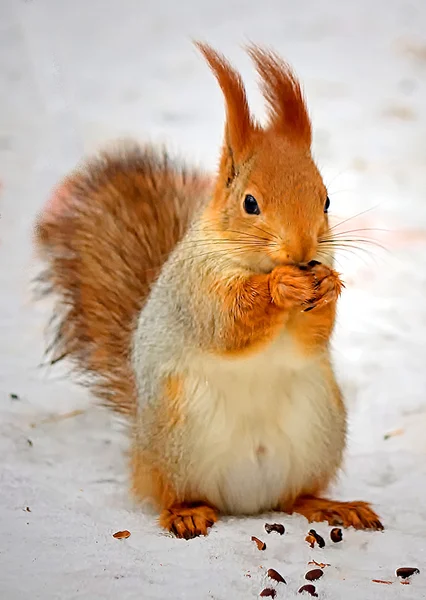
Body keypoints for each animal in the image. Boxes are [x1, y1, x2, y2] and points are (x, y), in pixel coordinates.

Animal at [35, 43, 382, 540]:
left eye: (327, 200)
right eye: (250, 203)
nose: (302, 251)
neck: (256, 262)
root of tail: (248, 502)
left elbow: (311, 337)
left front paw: (328, 287)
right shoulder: (196, 287)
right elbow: (227, 323)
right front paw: (279, 286)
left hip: (320, 429)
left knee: (297, 497)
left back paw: (333, 507)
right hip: (177, 437)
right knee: (171, 494)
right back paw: (186, 513)